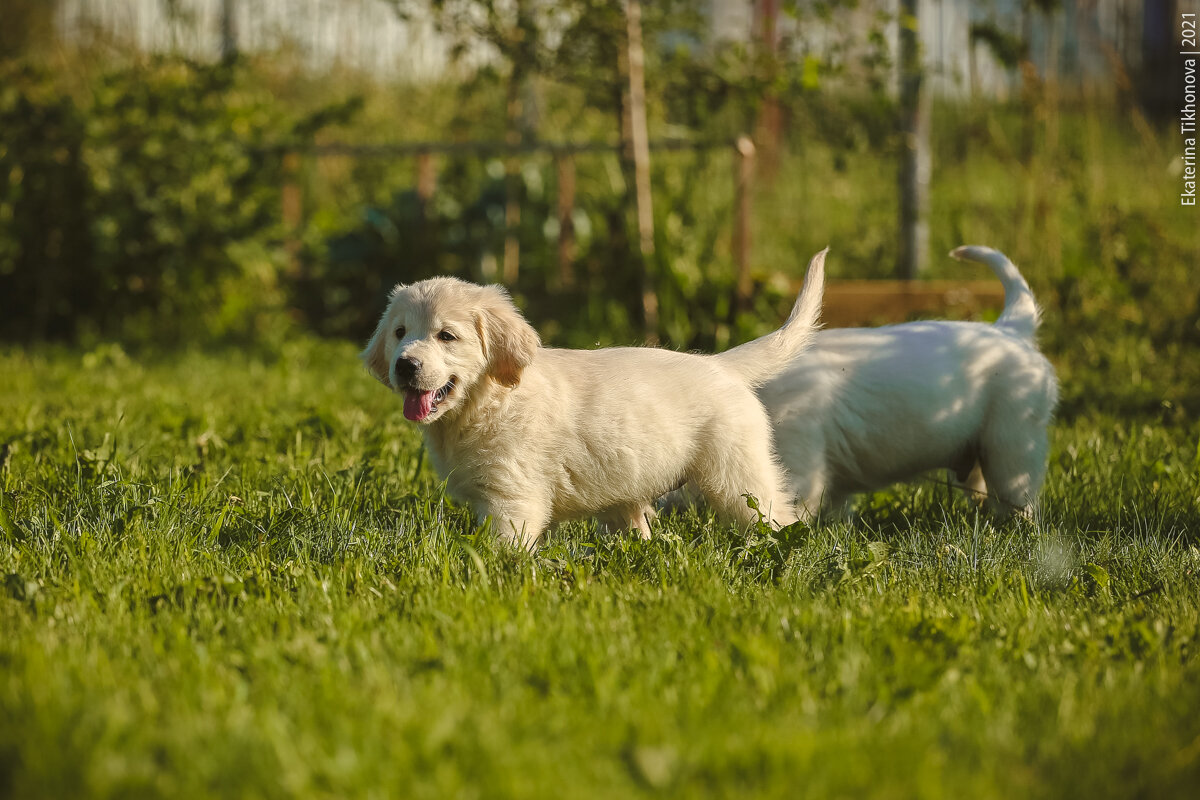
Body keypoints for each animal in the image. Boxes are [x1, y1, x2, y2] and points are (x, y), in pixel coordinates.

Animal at [355, 251, 825, 551]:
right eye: (400, 333)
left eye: (446, 336)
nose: (405, 365)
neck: (486, 405)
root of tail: (721, 364)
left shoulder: (513, 500)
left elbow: (503, 550)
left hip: (740, 476)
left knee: (778, 517)